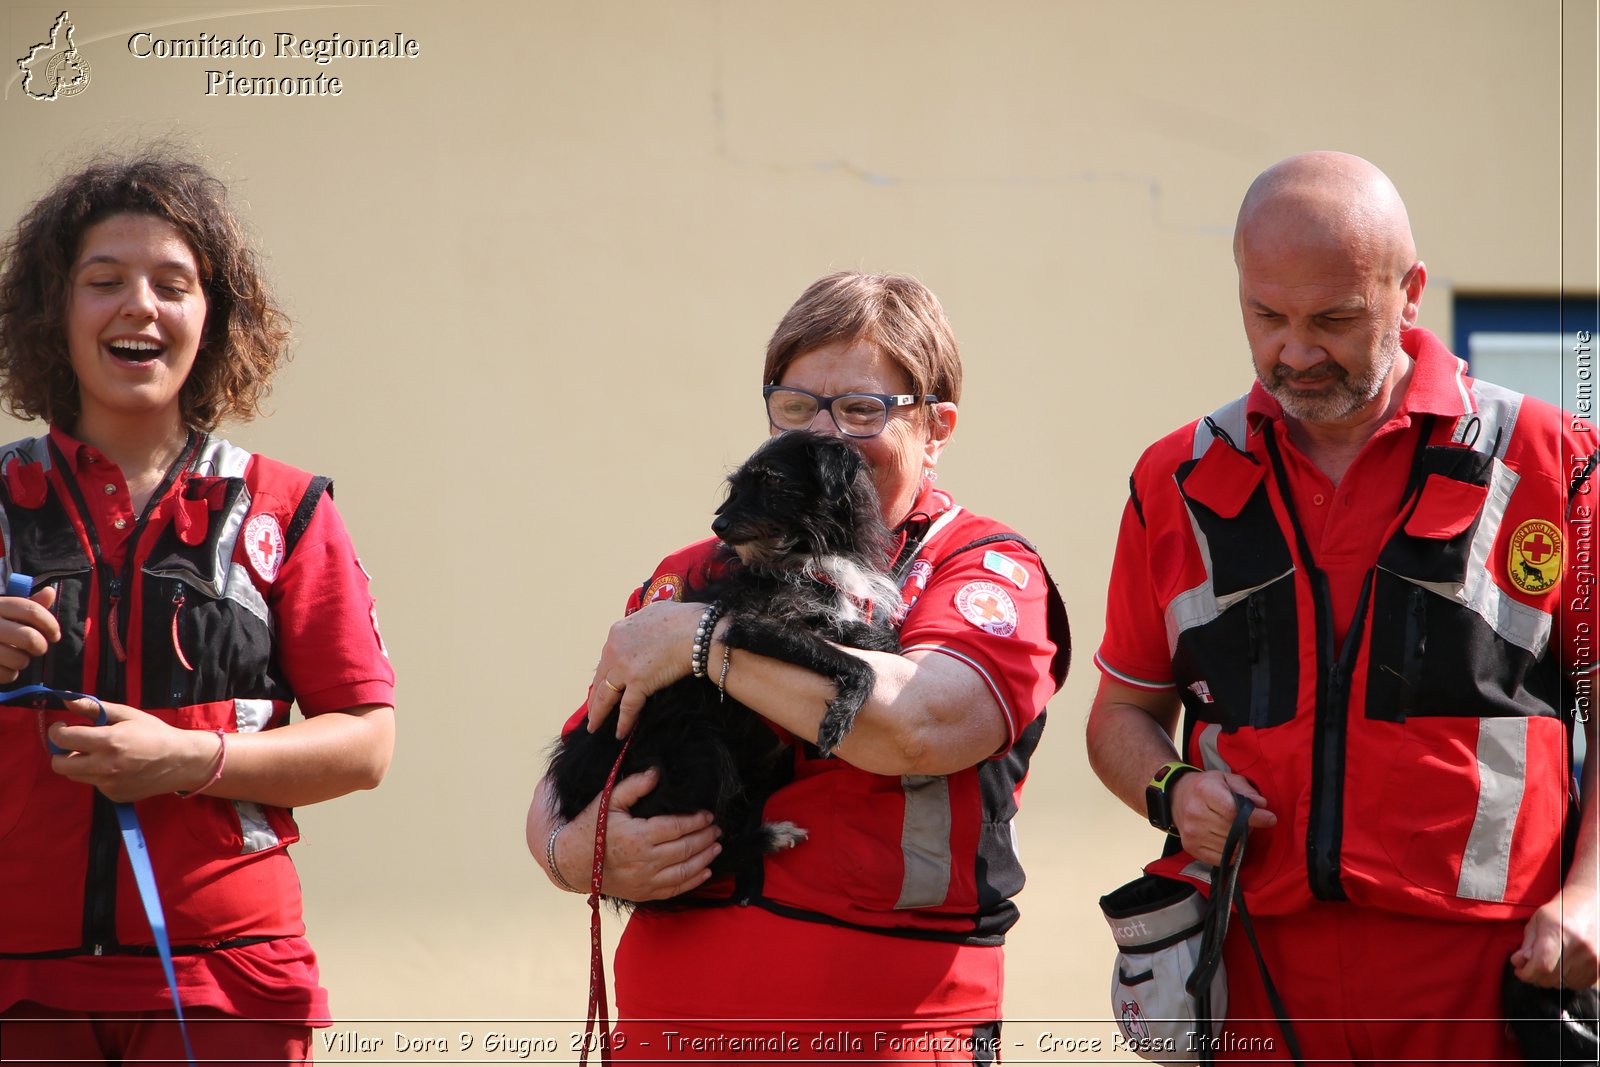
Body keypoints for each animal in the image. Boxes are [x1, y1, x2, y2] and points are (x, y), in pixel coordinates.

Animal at [547, 428, 902, 908]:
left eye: (771, 480)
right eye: (737, 484)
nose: (718, 526)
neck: (807, 552)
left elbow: (876, 643)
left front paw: (869, 644)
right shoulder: (752, 627)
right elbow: (861, 668)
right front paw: (840, 718)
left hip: (767, 754)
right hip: (698, 751)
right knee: (697, 868)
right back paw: (767, 839)